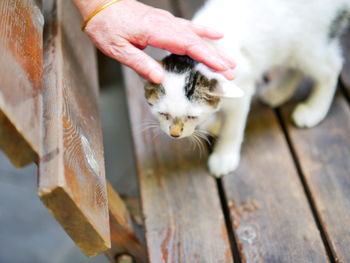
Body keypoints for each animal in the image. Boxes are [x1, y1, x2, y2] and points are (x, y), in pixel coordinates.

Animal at [143, 0, 350, 178]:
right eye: (163, 114)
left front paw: (224, 156)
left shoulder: (242, 90)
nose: (174, 134)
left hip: (309, 45)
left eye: (191, 117)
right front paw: (216, 121)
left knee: (331, 67)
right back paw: (279, 92)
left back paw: (314, 110)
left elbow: (233, 127)